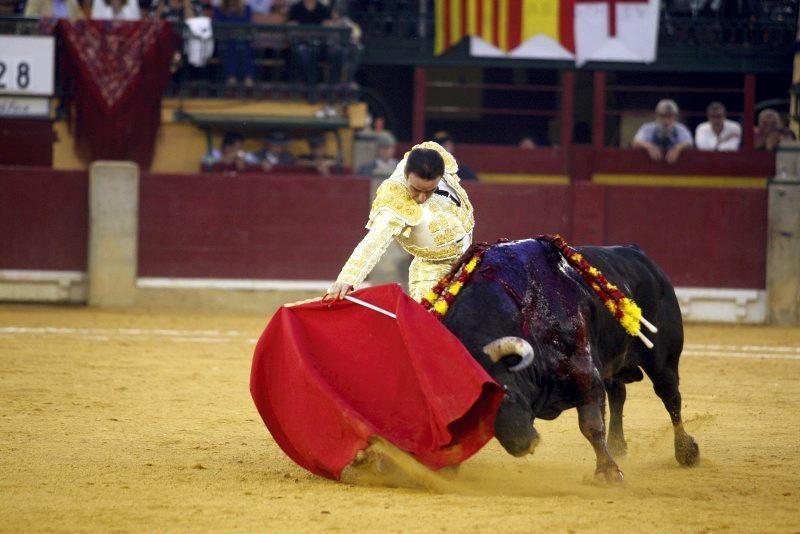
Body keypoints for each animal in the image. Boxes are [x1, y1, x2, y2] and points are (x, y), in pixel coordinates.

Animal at [444, 241, 700, 484]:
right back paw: (618, 445)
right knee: (618, 393)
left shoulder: (585, 373)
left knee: (671, 398)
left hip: (662, 360)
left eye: (506, 394)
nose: (524, 445)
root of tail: (637, 253)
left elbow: (591, 424)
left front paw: (608, 472)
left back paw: (686, 451)